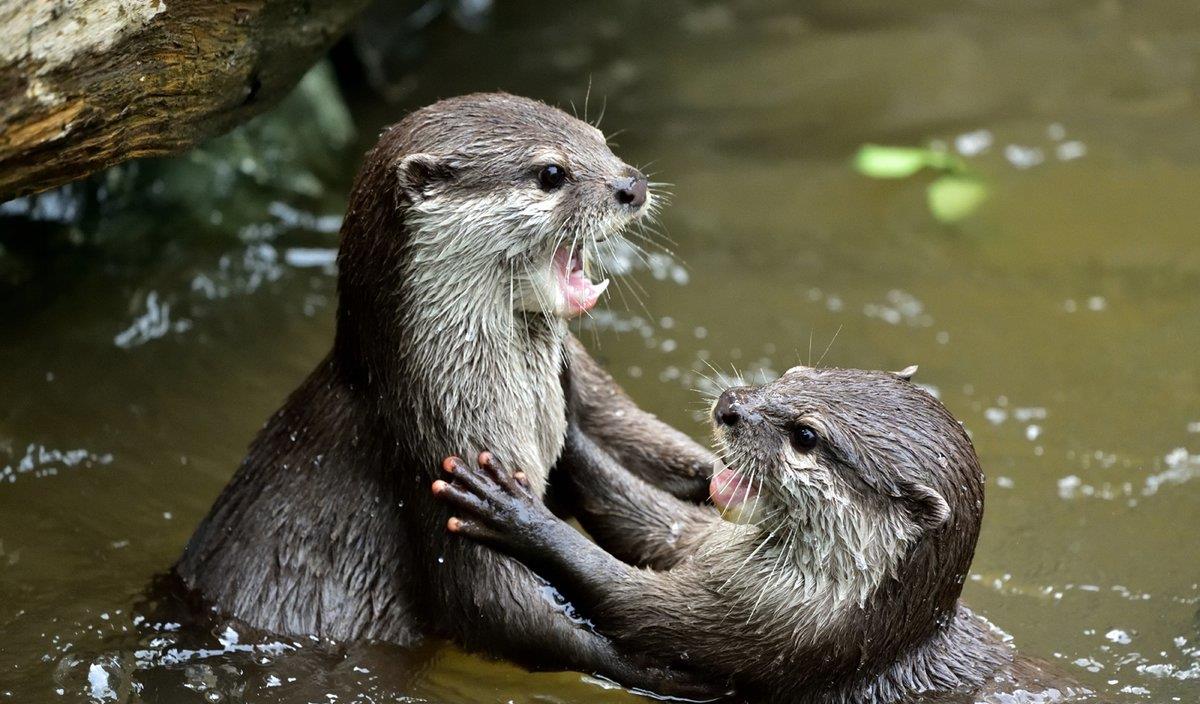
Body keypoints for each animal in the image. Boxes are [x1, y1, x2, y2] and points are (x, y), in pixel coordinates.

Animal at [175, 92, 720, 695]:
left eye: (599, 138)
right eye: (551, 173)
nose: (632, 185)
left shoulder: (583, 397)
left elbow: (643, 447)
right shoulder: (437, 463)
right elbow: (494, 606)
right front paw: (672, 673)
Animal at [436, 366, 1094, 700]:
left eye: (805, 435)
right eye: (794, 370)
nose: (730, 403)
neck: (862, 624)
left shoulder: (773, 629)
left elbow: (631, 602)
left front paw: (515, 512)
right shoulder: (712, 553)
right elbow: (647, 519)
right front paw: (570, 400)